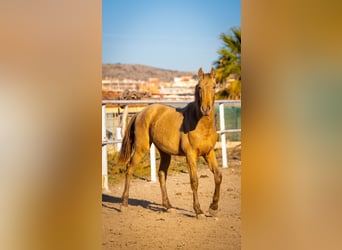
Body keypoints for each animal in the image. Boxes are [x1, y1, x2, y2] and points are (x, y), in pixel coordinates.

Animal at [119, 67, 223, 218]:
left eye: (214, 86)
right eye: (199, 87)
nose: (205, 109)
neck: (200, 125)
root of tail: (140, 113)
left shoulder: (209, 153)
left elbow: (218, 176)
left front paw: (213, 208)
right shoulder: (190, 155)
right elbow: (194, 181)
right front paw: (198, 211)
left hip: (165, 153)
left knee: (162, 174)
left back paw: (168, 206)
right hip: (141, 148)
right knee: (129, 169)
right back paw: (124, 204)